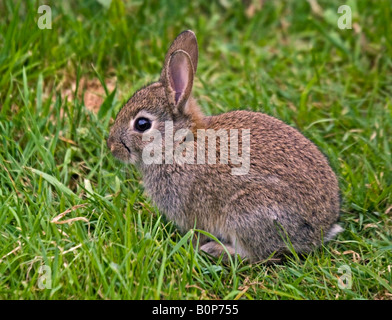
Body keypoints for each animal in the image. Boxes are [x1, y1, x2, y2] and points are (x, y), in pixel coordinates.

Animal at [105, 30, 342, 262]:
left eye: (142, 124)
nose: (112, 147)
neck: (177, 144)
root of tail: (320, 230)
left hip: (247, 212)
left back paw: (216, 250)